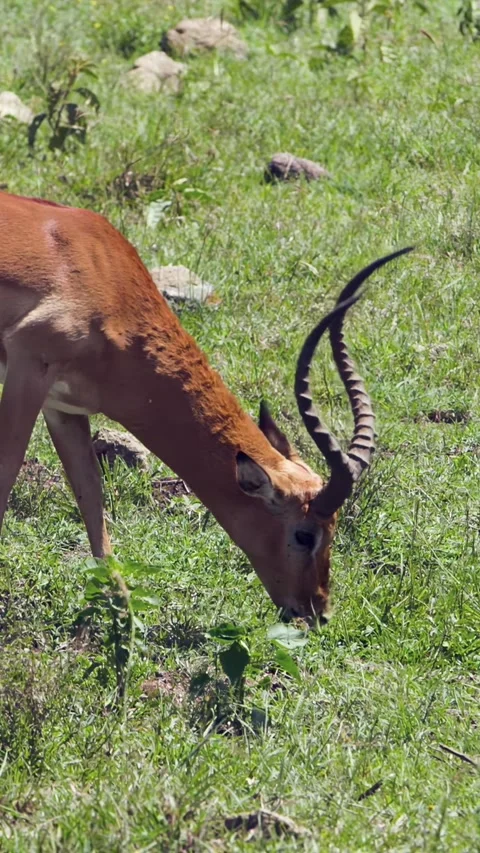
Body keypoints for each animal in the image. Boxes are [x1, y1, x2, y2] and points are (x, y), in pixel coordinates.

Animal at [0, 192, 411, 622]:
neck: (107, 284)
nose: (317, 611)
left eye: (335, 526)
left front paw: (124, 612)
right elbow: (7, 474)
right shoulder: (29, 368)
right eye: (304, 534)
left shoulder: (65, 407)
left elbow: (91, 496)